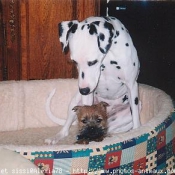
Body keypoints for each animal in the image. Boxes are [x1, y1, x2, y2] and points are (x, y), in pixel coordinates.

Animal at [44, 16, 140, 144]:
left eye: (93, 61)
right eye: (74, 61)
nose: (83, 90)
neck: (107, 57)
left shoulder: (131, 85)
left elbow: (136, 120)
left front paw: (137, 132)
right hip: (75, 103)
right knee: (66, 128)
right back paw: (57, 137)